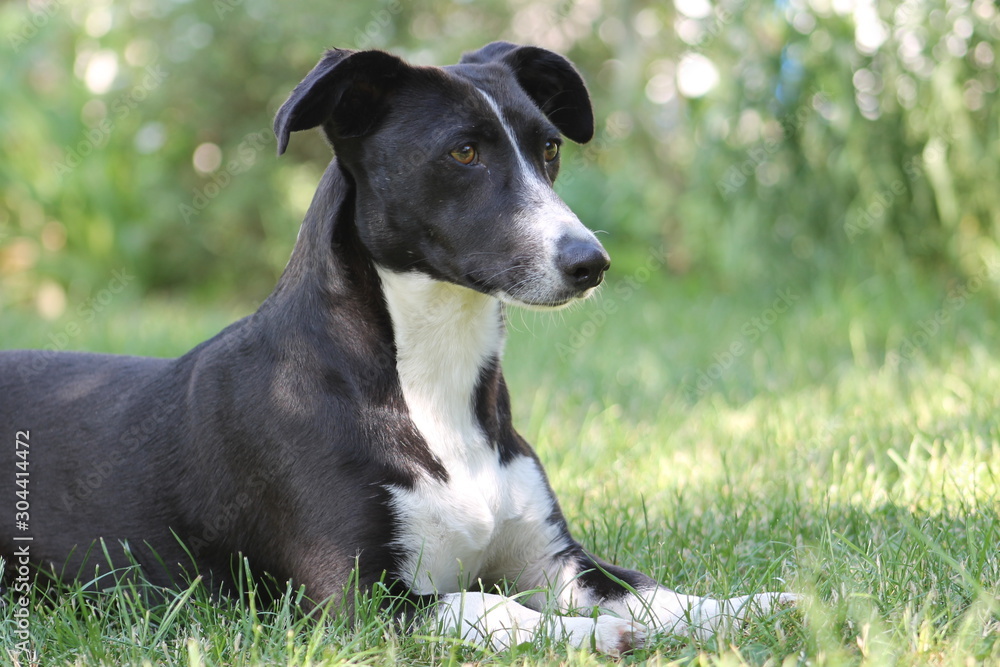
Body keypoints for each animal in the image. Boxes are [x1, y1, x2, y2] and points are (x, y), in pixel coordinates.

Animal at [3, 43, 792, 656]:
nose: (590, 262)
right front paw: (583, 634)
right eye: (464, 151)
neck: (426, 382)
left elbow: (652, 591)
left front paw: (747, 607)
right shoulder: (359, 600)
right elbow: (488, 604)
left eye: (549, 147)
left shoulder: (558, 561)